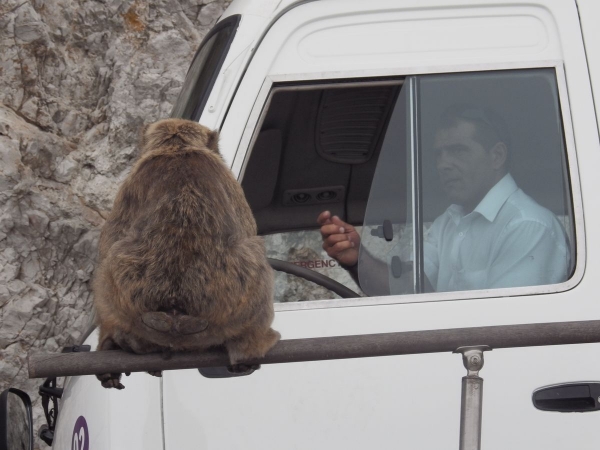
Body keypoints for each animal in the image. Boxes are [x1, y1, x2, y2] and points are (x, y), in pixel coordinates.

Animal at [92, 118, 280, 388]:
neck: (176, 148)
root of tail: (175, 314)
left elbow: (109, 243)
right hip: (238, 308)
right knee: (256, 250)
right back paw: (251, 347)